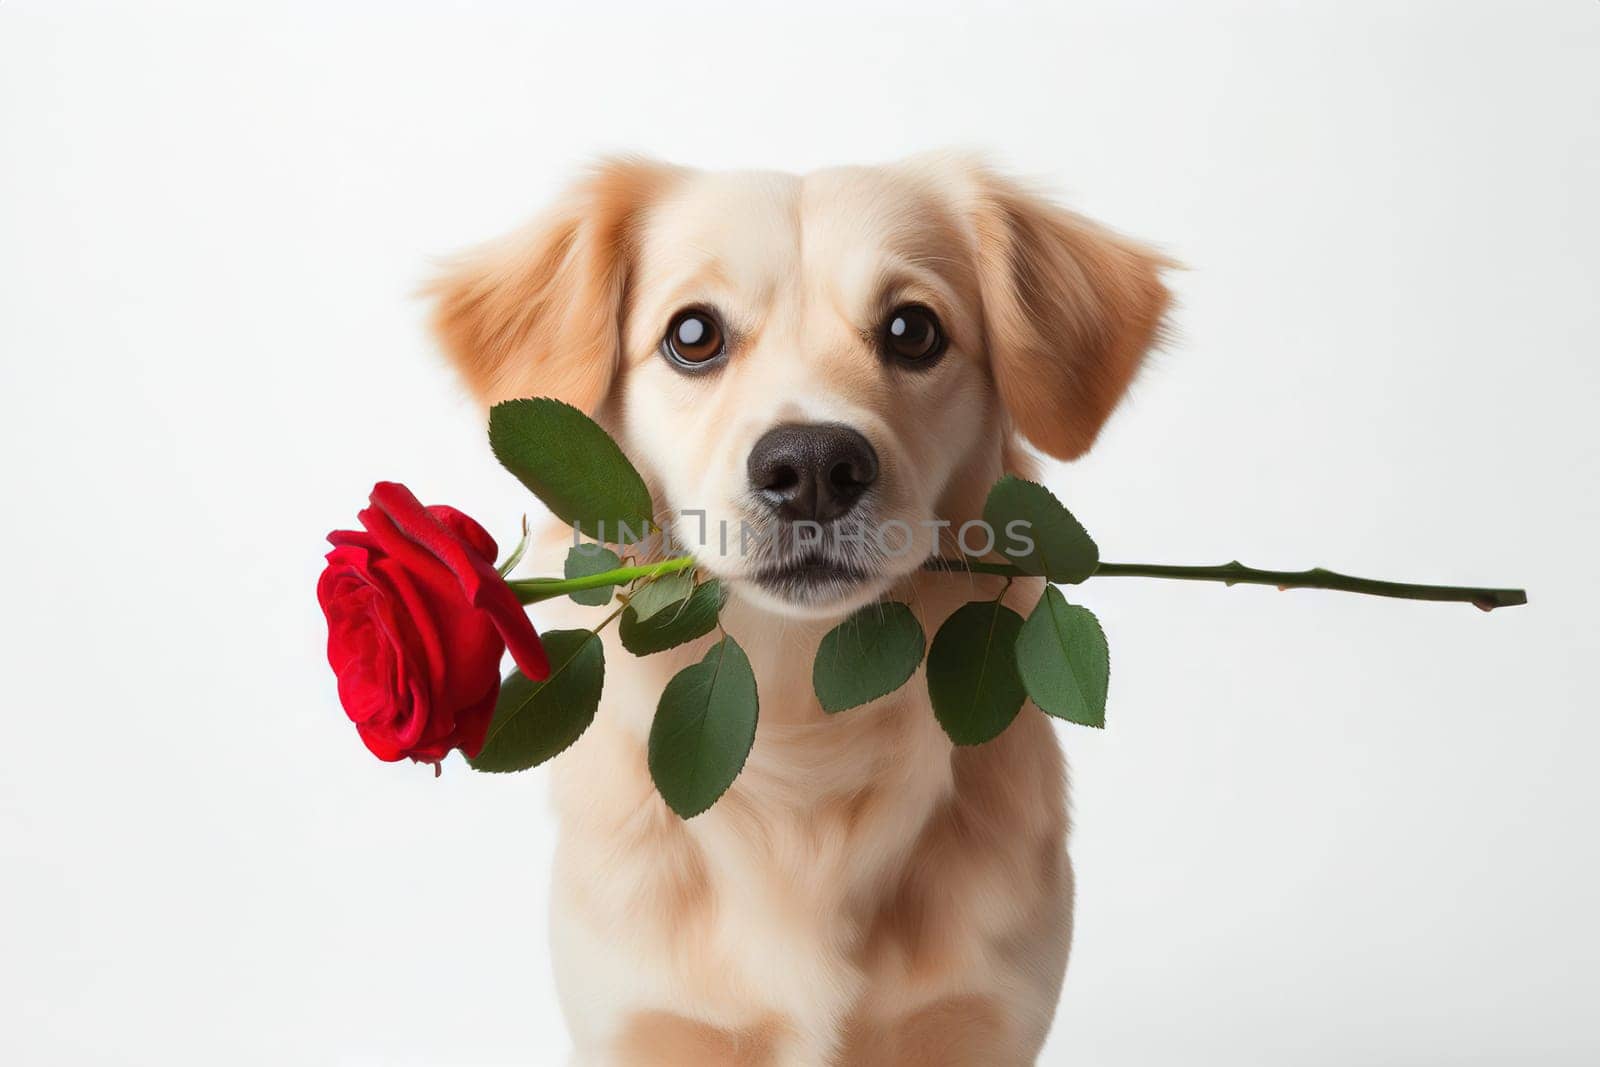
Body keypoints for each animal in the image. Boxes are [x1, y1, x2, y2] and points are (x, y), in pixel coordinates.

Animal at [432, 154, 1171, 1062]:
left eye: (913, 330)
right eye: (693, 335)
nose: (814, 465)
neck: (798, 716)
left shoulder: (987, 1018)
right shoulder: (640, 1020)